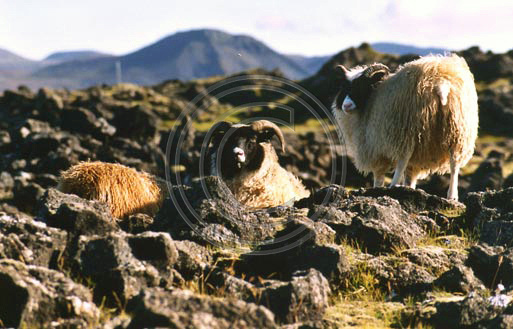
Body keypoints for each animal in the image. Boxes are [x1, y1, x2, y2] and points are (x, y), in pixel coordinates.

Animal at [334, 54, 478, 200]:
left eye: (362, 86)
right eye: (343, 87)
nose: (346, 105)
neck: (371, 99)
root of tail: (441, 83)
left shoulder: (375, 150)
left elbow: (379, 176)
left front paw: (377, 187)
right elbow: (410, 175)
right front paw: (410, 187)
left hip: (406, 129)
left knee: (402, 160)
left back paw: (393, 186)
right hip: (459, 129)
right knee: (455, 163)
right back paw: (452, 196)